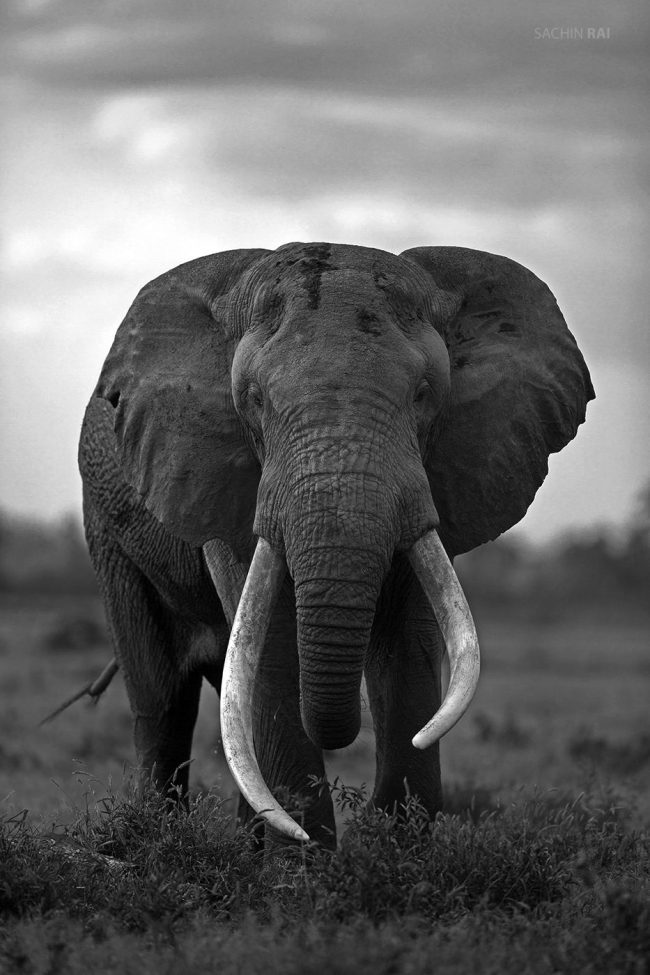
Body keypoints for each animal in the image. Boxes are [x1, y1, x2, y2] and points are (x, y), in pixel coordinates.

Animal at [78, 241, 593, 846]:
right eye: (254, 399)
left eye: (424, 395)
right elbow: (272, 641)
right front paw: (304, 860)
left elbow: (406, 640)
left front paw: (396, 850)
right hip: (107, 525)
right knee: (163, 697)